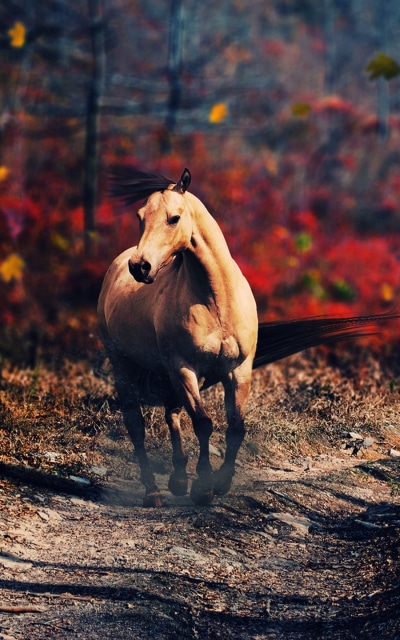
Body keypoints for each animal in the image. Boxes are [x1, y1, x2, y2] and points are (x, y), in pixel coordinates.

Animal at [98, 167, 399, 507]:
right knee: (136, 425)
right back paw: (153, 492)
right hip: (127, 365)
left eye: (173, 218)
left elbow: (236, 427)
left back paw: (178, 480)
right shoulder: (185, 368)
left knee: (171, 413)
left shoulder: (237, 369)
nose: (140, 267)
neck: (215, 300)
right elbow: (203, 423)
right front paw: (204, 487)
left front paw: (221, 483)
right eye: (140, 217)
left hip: (169, 373)